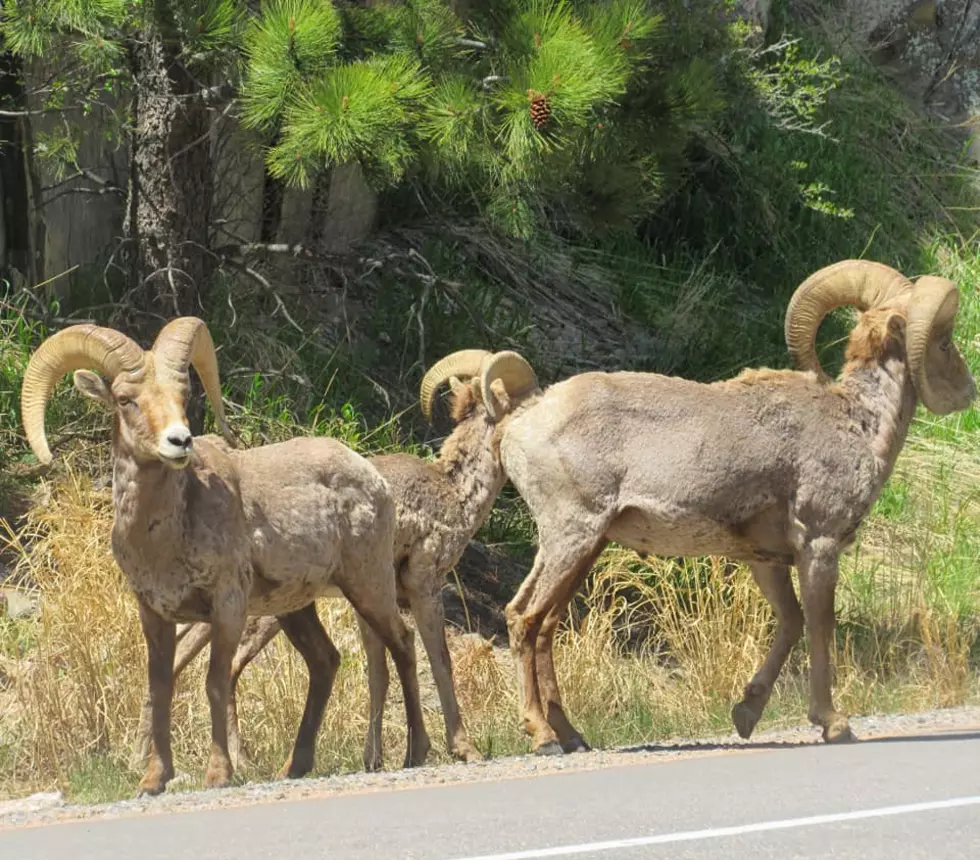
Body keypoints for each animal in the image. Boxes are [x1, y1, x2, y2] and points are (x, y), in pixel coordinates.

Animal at [21, 320, 428, 796]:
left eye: (183, 397)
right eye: (126, 400)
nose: (180, 441)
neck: (162, 538)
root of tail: (370, 474)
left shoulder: (227, 607)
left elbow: (214, 683)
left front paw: (218, 774)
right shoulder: (154, 615)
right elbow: (161, 687)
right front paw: (154, 780)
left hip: (367, 585)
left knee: (402, 644)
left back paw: (416, 753)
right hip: (295, 609)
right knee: (325, 661)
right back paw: (294, 766)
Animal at [134, 350, 532, 764]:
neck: (453, 494)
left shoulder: (371, 601)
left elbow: (378, 673)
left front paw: (373, 760)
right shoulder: (424, 587)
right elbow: (439, 661)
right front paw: (464, 749)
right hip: (257, 614)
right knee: (214, 664)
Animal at [472, 258, 972, 756]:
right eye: (945, 340)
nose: (968, 390)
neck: (858, 423)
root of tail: (519, 423)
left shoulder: (767, 561)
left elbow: (791, 623)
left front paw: (746, 714)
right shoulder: (819, 545)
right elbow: (819, 627)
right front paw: (834, 725)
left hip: (581, 547)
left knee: (543, 625)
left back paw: (572, 736)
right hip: (572, 536)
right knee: (525, 619)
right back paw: (543, 737)